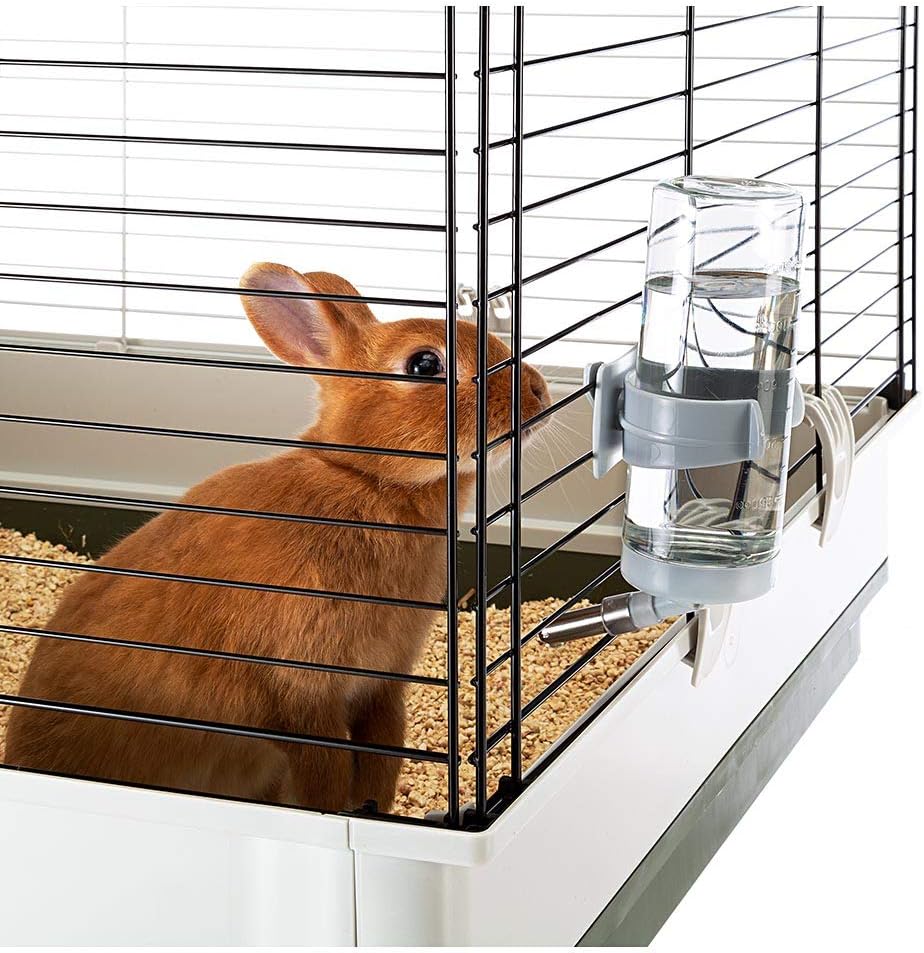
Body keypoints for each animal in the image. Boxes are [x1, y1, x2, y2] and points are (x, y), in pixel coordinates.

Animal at [4, 264, 551, 813]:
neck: (367, 481)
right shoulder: (301, 697)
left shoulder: (381, 688)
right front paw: (339, 812)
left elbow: (381, 764)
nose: (536, 390)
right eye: (424, 364)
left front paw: (374, 809)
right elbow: (326, 779)